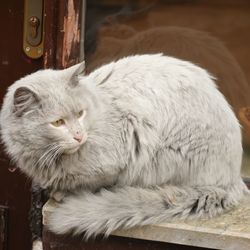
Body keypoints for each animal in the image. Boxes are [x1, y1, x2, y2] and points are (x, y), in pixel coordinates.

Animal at [0, 53, 248, 237]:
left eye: (80, 114)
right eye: (58, 123)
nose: (79, 136)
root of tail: (233, 180)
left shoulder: (118, 155)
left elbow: (91, 181)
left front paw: (63, 193)